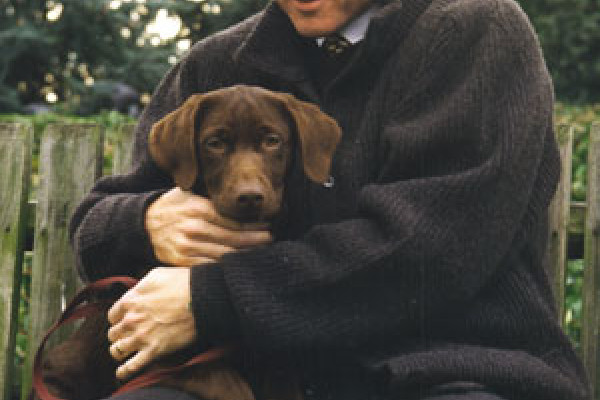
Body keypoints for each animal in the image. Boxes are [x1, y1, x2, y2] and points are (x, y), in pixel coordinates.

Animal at [35, 86, 340, 400]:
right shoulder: (155, 359)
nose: (250, 197)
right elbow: (234, 387)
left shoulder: (271, 364)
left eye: (272, 140)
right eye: (214, 143)